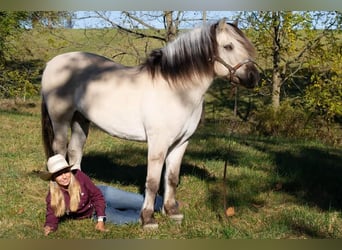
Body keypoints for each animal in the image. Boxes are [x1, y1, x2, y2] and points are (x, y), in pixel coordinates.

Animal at [40, 18, 260, 229]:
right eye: (229, 46)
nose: (253, 77)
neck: (176, 90)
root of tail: (52, 63)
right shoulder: (158, 143)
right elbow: (153, 182)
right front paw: (148, 218)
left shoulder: (181, 143)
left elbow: (171, 178)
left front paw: (171, 211)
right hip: (61, 120)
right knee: (60, 151)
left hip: (81, 120)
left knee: (75, 152)